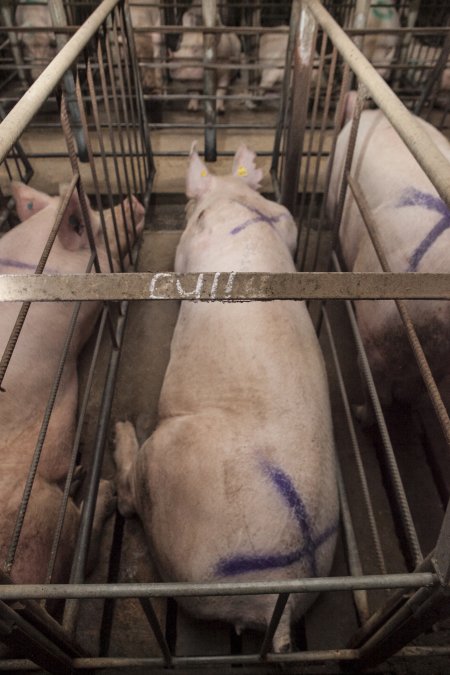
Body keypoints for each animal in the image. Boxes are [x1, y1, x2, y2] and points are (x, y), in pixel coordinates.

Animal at [114, 145, 340, 652]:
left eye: (190, 208)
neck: (239, 201)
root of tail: (278, 594)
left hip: (167, 462)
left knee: (130, 496)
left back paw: (119, 435)